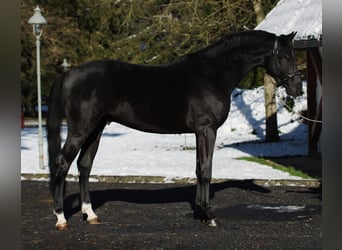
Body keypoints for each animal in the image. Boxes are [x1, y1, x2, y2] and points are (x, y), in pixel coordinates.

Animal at [46, 30, 300, 229]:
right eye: (286, 56)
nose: (297, 88)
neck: (213, 74)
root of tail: (69, 73)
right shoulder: (207, 129)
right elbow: (206, 170)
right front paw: (210, 215)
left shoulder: (199, 132)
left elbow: (198, 169)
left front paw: (202, 213)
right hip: (80, 129)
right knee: (63, 164)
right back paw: (61, 218)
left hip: (96, 129)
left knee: (84, 166)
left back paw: (90, 215)